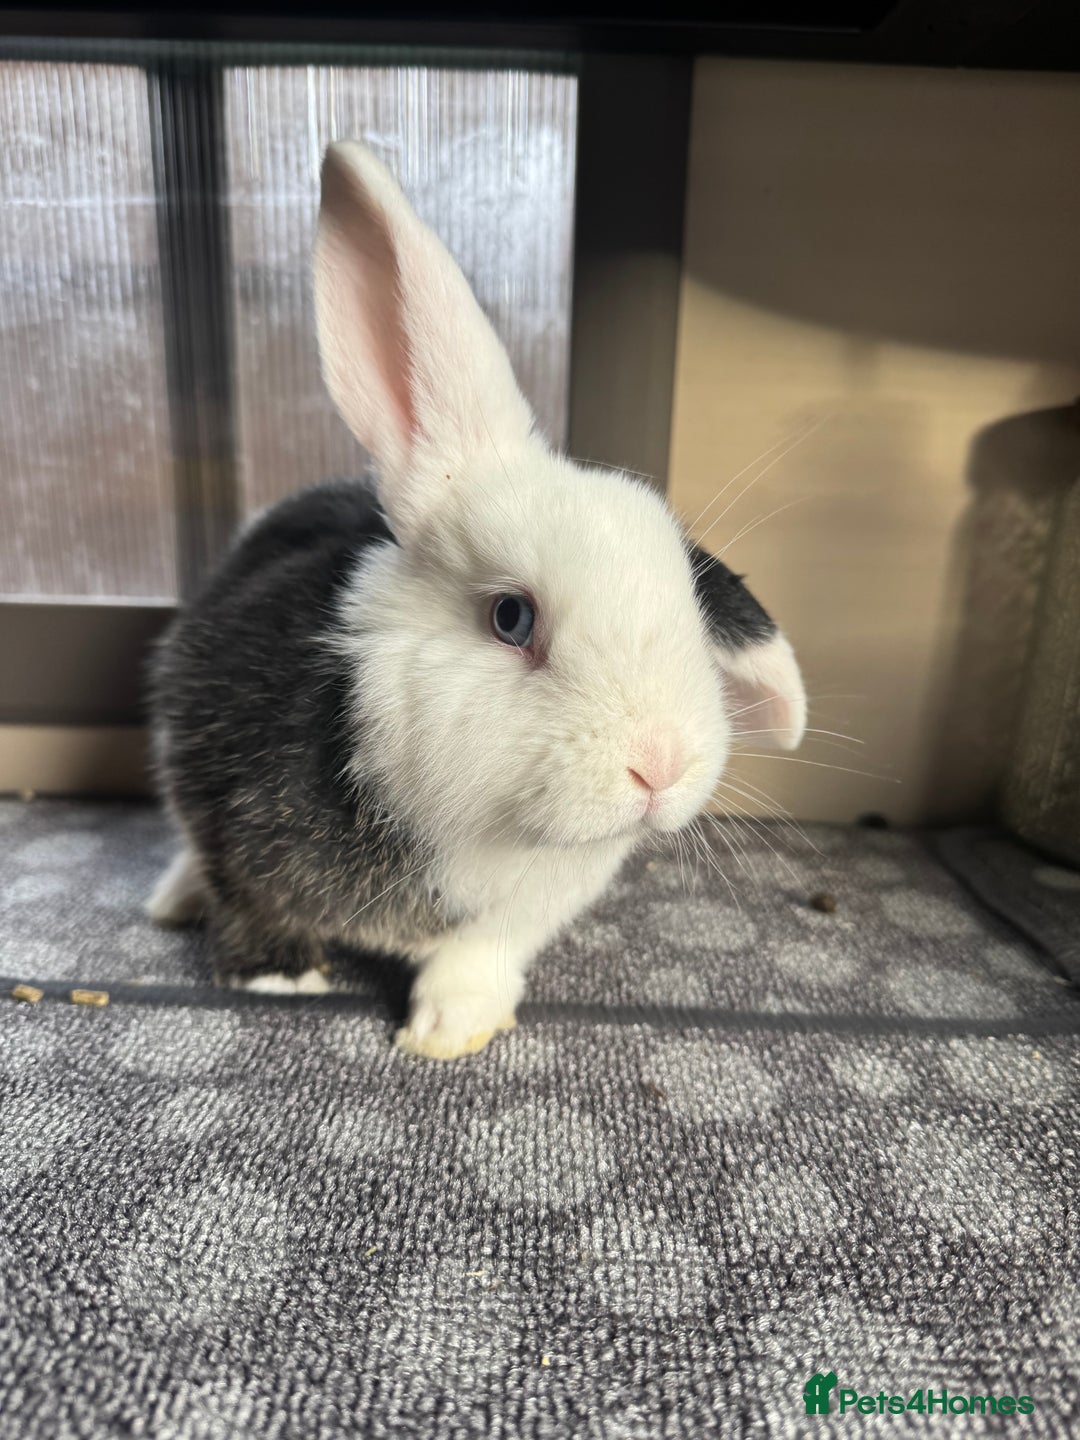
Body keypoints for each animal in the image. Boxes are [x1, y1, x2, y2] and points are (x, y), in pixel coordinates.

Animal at [148, 141, 807, 1059]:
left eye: (694, 608)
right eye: (511, 618)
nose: (661, 765)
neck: (485, 834)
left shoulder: (519, 917)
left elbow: (475, 959)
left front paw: (452, 1031)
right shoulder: (215, 795)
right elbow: (247, 896)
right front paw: (278, 978)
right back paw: (172, 903)